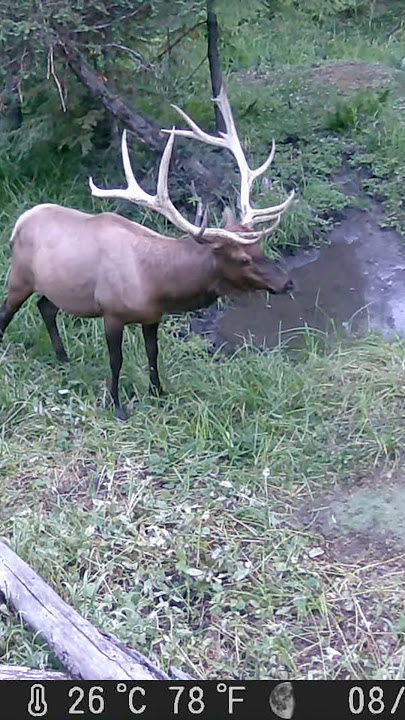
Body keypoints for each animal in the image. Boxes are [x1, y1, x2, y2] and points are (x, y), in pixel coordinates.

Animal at [0, 86, 295, 420]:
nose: (286, 282)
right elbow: (116, 361)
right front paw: (116, 406)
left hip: (59, 287)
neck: (158, 284)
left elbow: (153, 354)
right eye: (243, 259)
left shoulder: (153, 317)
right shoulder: (112, 312)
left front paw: (159, 393)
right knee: (7, 311)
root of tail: (18, 223)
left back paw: (64, 359)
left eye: (259, 248)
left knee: (46, 307)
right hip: (19, 276)